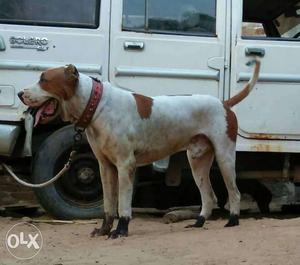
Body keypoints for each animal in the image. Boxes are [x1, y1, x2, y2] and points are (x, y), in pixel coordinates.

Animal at [18, 58, 260, 238]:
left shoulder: (125, 166)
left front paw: (121, 230)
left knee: (234, 192)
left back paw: (233, 221)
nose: (20, 94)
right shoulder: (105, 168)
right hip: (197, 162)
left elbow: (123, 204)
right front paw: (104, 229)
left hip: (225, 157)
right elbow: (109, 204)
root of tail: (224, 104)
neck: (97, 105)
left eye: (44, 79)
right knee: (209, 196)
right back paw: (198, 222)